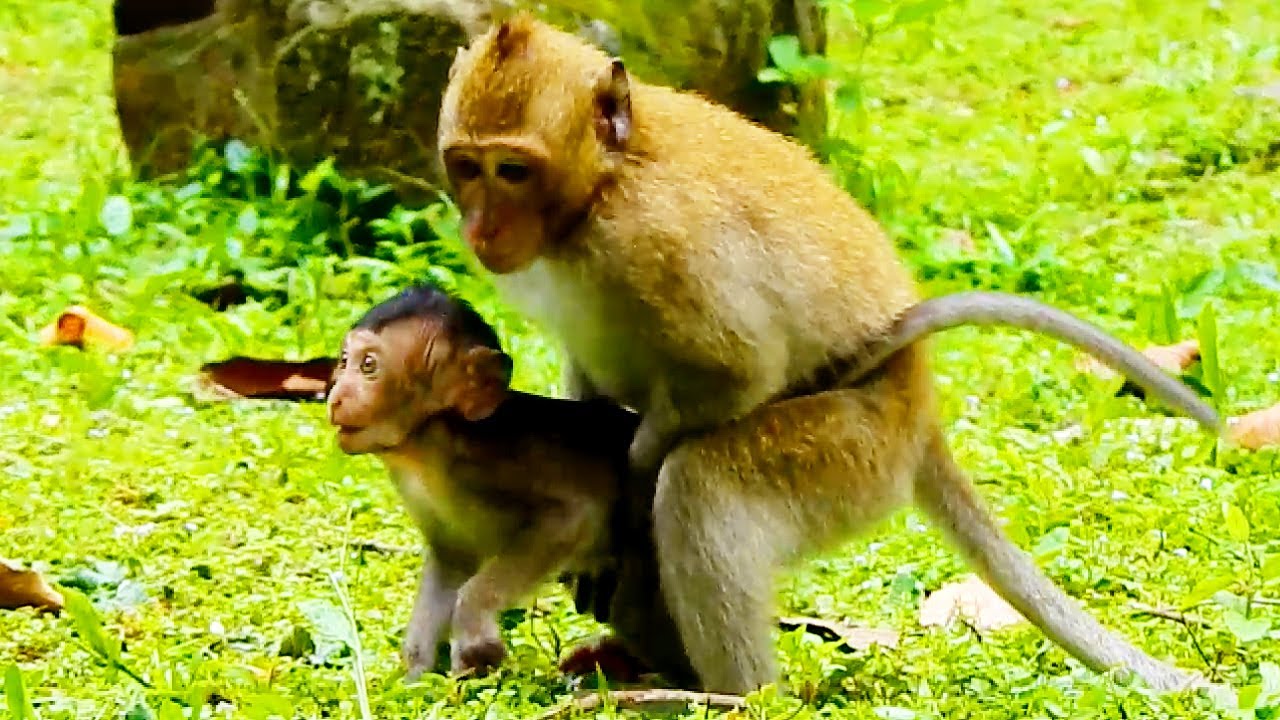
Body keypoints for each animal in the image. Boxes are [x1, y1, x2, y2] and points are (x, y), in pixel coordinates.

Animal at [325, 284, 695, 683]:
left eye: (368, 366)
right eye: (344, 361)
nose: (335, 396)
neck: (431, 447)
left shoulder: (494, 460)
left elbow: (573, 515)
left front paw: (473, 630)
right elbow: (451, 556)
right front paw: (417, 673)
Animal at [434, 14, 1225, 695]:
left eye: (513, 171)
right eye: (467, 167)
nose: (481, 229)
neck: (600, 186)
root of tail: (918, 407)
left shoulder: (654, 237)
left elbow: (739, 369)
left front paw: (627, 482)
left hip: (855, 450)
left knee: (699, 487)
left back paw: (728, 694)